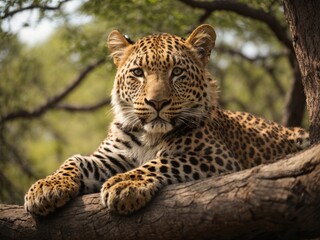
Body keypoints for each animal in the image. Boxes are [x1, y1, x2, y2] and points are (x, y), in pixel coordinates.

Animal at [23, 23, 308, 216]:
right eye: (138, 73)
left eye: (177, 72)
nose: (157, 103)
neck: (150, 135)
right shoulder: (110, 157)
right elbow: (74, 160)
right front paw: (45, 187)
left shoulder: (217, 157)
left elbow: (162, 162)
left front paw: (126, 183)